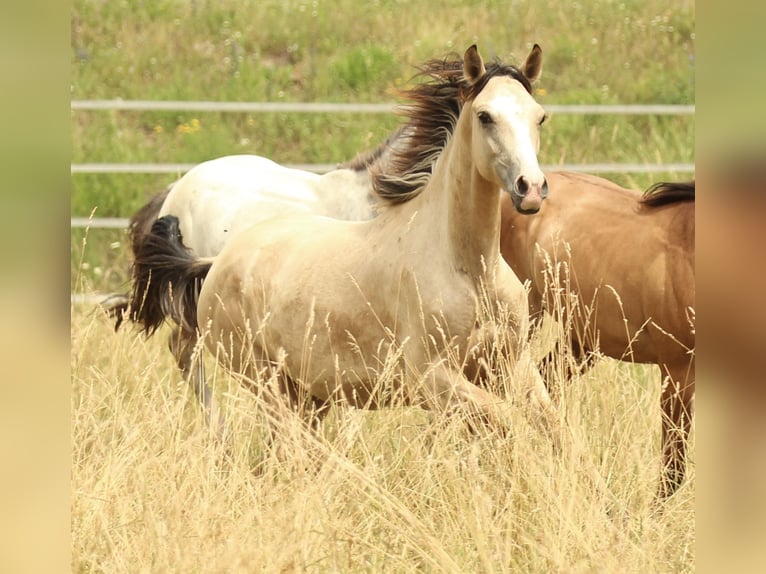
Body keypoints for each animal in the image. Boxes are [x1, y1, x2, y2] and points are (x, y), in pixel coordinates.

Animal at [127, 44, 555, 448]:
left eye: (539, 116)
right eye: (485, 116)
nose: (531, 188)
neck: (469, 268)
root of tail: (215, 262)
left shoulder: (513, 364)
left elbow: (551, 424)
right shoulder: (430, 378)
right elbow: (508, 422)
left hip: (304, 392)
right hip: (265, 379)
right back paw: (223, 438)